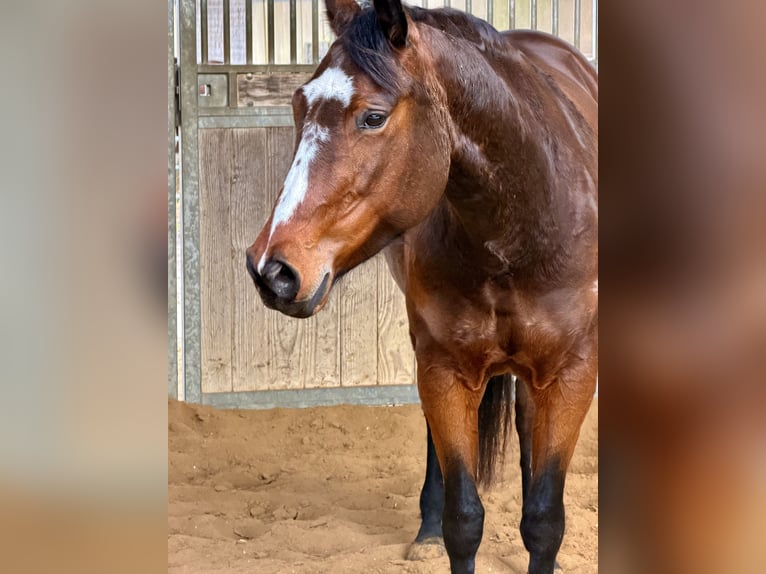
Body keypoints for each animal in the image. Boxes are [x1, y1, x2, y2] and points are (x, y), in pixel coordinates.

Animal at [245, 1, 597, 572]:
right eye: (299, 105)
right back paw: (425, 531)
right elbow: (464, 521)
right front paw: (440, 528)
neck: (527, 223)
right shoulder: (444, 368)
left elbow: (545, 521)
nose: (271, 269)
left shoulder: (572, 374)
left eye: (373, 116)